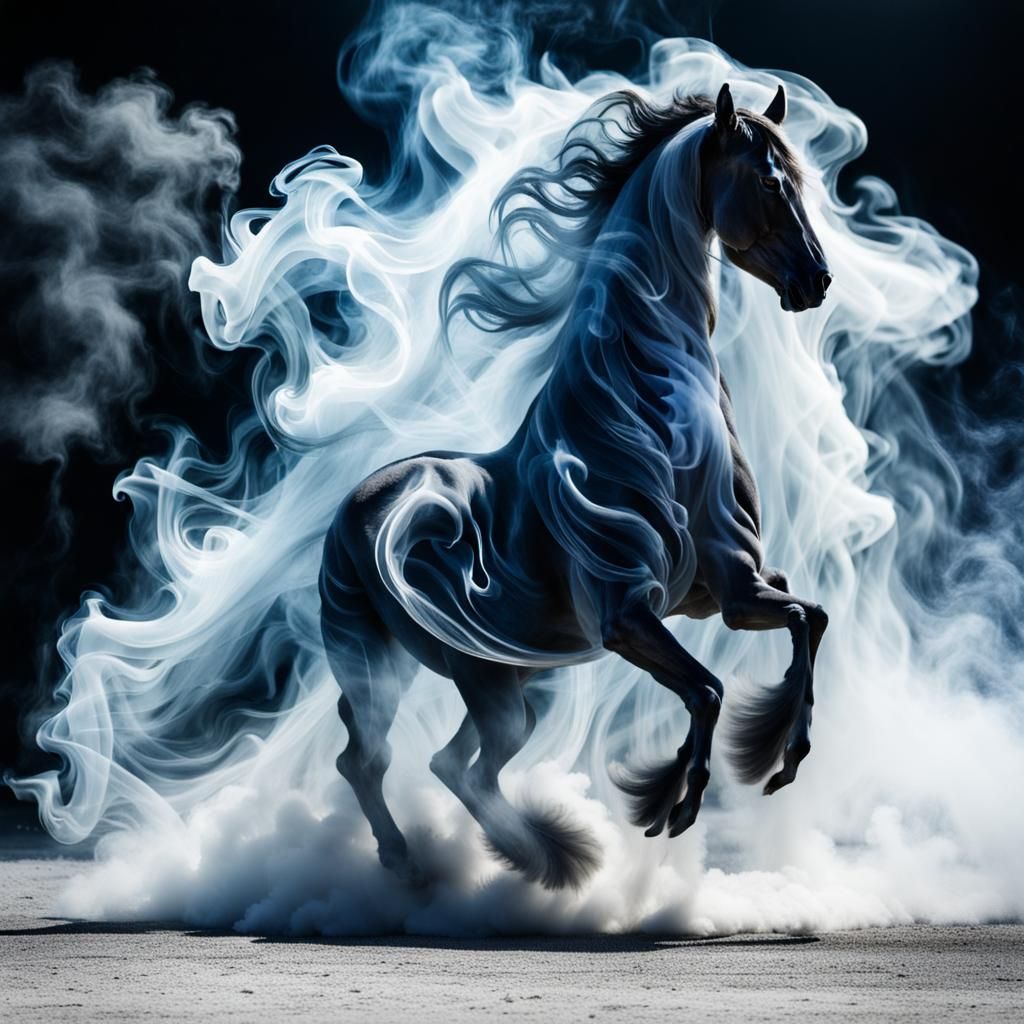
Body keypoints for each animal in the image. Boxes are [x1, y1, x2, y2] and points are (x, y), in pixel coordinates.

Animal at [318, 82, 831, 889]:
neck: (639, 413)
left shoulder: (734, 589)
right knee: (383, 762)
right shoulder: (629, 615)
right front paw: (672, 803)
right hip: (423, 676)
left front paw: (780, 758)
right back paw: (458, 862)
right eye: (770, 182)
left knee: (447, 767)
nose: (817, 281)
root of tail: (353, 510)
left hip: (501, 684)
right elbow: (709, 689)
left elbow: (809, 617)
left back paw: (532, 857)